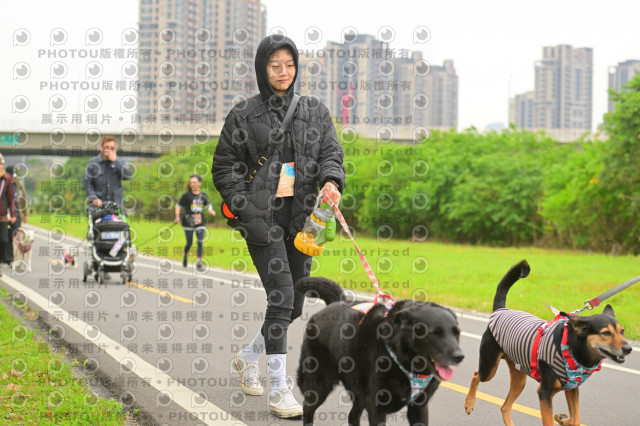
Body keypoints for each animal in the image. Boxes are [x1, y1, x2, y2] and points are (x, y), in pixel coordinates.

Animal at [295, 277, 464, 426]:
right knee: (308, 409)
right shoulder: (377, 407)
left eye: (456, 333)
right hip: (319, 382)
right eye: (435, 333)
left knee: (352, 415)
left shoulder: (418, 407)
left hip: (359, 390)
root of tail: (334, 303)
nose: (459, 357)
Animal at [464, 260, 632, 426]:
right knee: (476, 374)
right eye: (606, 333)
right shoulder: (544, 393)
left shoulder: (572, 389)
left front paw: (563, 419)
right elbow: (551, 420)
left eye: (622, 331)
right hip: (489, 367)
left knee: (505, 407)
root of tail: (500, 310)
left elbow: (576, 419)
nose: (628, 348)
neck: (572, 349)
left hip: (519, 377)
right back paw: (469, 403)